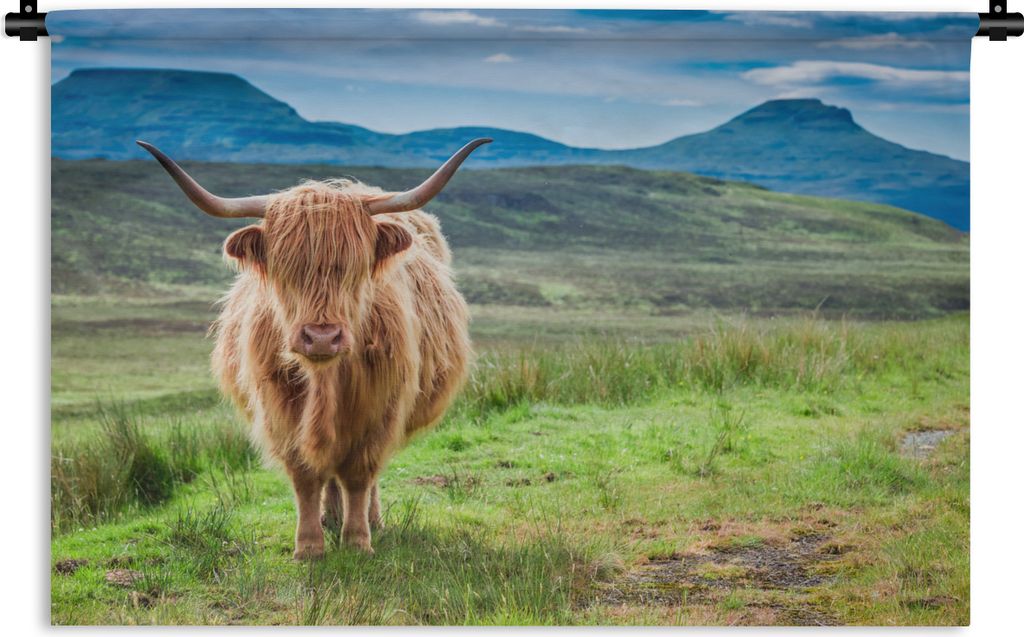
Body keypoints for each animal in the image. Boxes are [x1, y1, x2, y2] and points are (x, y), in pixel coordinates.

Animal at [137, 139, 490, 558]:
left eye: (354, 267)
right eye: (285, 268)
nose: (322, 337)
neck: (326, 379)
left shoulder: (379, 408)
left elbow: (359, 474)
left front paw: (357, 541)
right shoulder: (280, 409)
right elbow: (305, 475)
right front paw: (308, 546)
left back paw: (368, 520)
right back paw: (330, 517)